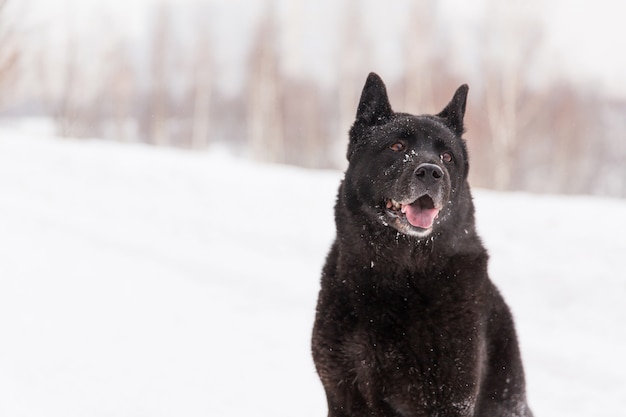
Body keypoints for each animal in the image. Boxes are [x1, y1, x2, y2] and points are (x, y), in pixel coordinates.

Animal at [310, 73, 528, 414]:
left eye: (447, 157)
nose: (430, 172)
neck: (397, 271)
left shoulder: (448, 401)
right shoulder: (342, 393)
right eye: (396, 146)